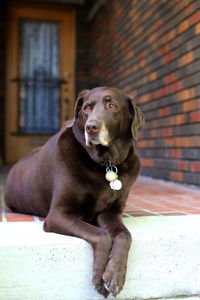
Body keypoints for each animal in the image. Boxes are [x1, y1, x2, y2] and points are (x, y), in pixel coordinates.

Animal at [4, 86, 145, 298]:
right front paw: (100, 276)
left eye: (112, 106)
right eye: (86, 108)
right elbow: (101, 235)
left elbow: (124, 235)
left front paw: (114, 274)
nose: (91, 127)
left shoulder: (110, 212)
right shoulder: (58, 214)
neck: (106, 163)